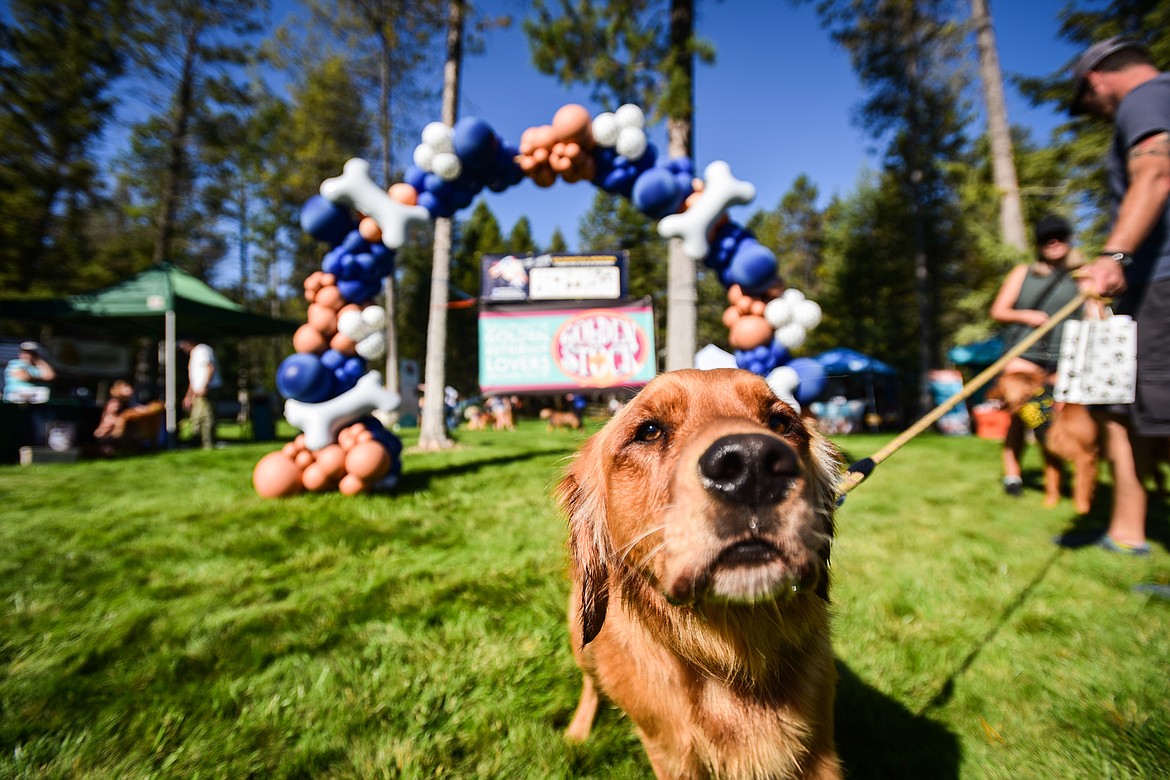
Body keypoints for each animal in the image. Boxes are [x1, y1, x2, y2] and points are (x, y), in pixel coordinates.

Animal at [987, 367, 1095, 514]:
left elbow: (1081, 487)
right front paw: (1049, 505)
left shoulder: (1085, 457)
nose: (986, 393)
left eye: (998, 383)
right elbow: (1052, 481)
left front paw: (1082, 510)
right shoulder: (1050, 454)